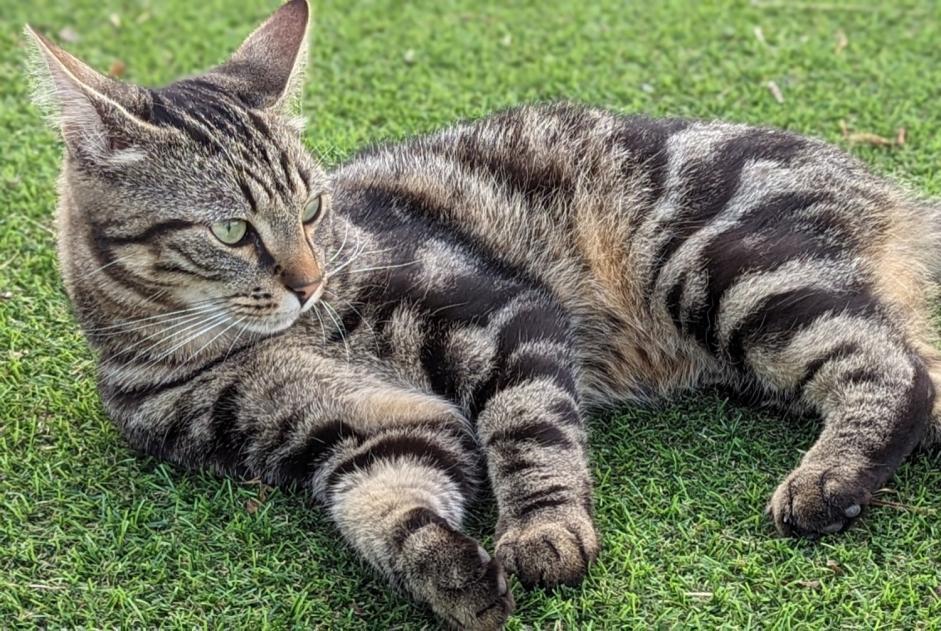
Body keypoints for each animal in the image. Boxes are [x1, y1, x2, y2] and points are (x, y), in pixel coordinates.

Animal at [22, 1, 940, 628]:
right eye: (231, 231)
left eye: (312, 209)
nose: (310, 281)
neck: (231, 347)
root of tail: (888, 192)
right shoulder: (360, 429)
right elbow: (383, 509)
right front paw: (450, 575)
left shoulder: (499, 316)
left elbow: (527, 433)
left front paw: (543, 530)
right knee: (918, 371)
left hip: (719, 265)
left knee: (889, 367)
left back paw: (828, 480)